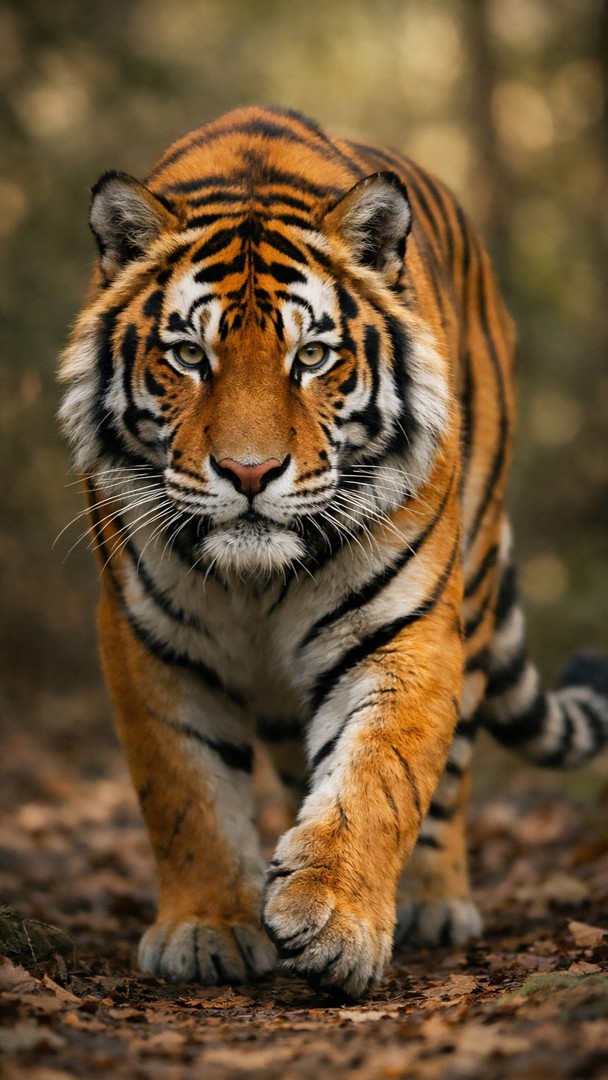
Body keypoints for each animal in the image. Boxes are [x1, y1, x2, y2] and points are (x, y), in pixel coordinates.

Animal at [59, 105, 608, 999]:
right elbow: (184, 789)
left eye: (311, 356)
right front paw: (209, 928)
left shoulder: (405, 628)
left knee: (453, 771)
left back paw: (434, 903)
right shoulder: (147, 637)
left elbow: (380, 775)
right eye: (189, 356)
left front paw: (334, 918)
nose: (249, 472)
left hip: (474, 582)